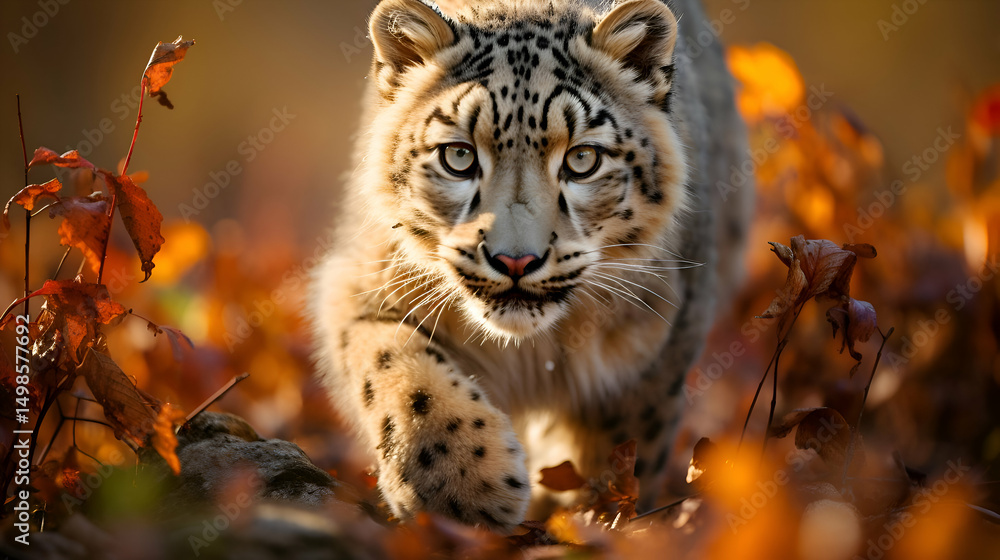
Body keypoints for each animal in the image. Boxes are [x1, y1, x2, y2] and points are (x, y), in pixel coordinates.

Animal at [310, 0, 752, 532]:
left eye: (583, 159)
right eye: (458, 155)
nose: (515, 259)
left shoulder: (659, 344)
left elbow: (621, 450)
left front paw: (590, 515)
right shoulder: (360, 286)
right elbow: (399, 369)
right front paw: (462, 488)